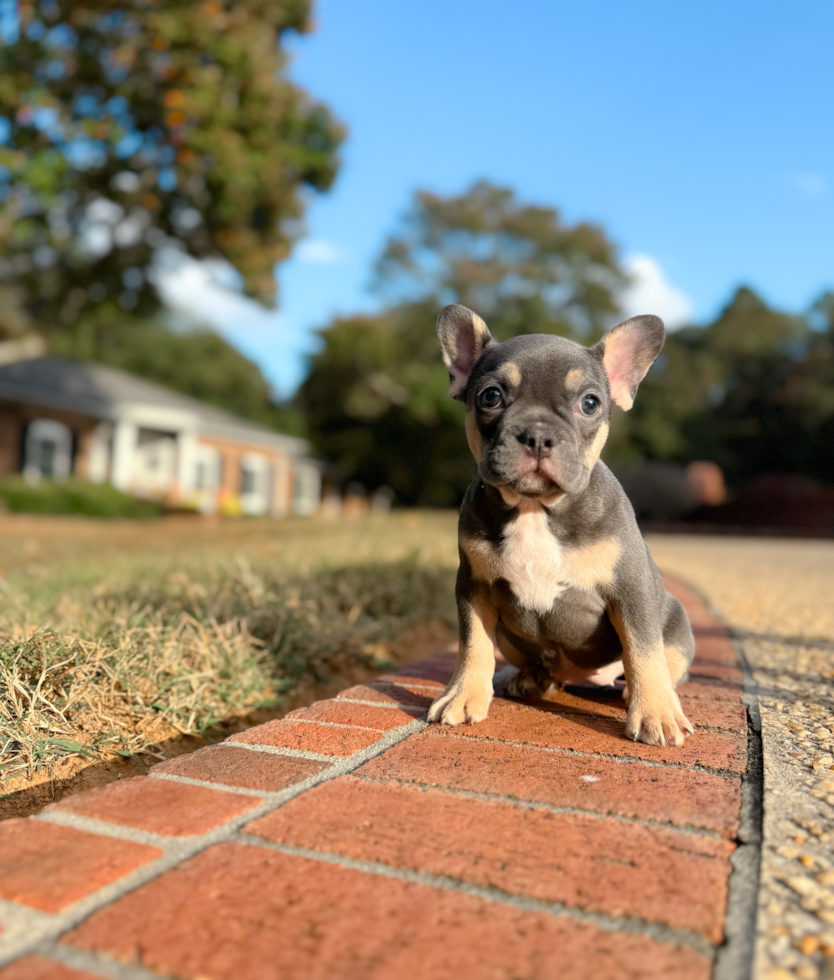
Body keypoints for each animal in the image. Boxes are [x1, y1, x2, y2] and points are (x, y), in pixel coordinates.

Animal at [426, 306, 692, 752]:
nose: (537, 434)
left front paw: (655, 712)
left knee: (659, 661)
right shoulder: (474, 586)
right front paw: (462, 695)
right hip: (511, 639)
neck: (535, 508)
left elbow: (643, 649)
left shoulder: (630, 589)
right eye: (490, 396)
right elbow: (473, 645)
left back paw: (639, 694)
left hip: (676, 625)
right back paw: (529, 679)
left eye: (590, 403)